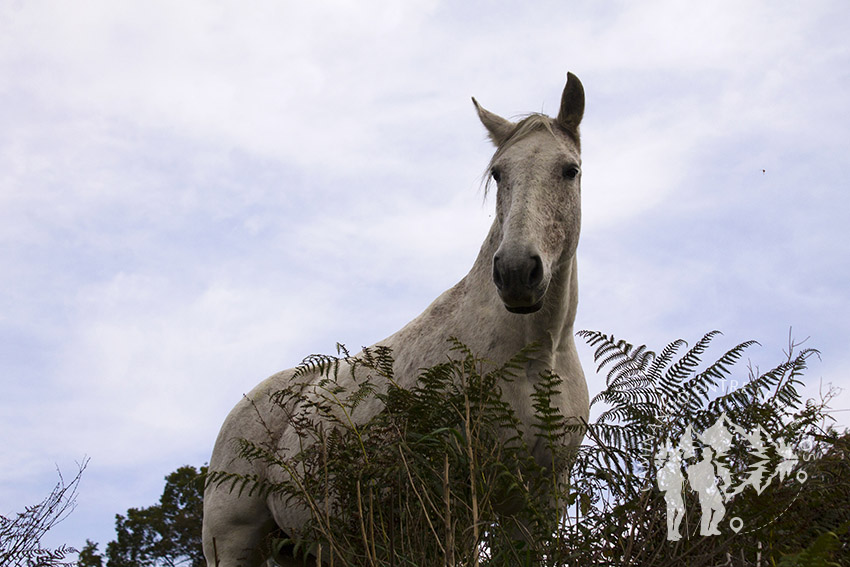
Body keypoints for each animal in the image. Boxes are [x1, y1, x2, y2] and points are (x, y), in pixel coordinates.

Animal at [204, 72, 588, 567]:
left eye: (569, 170)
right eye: (499, 173)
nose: (517, 272)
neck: (535, 358)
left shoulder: (533, 509)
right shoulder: (454, 502)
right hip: (232, 543)